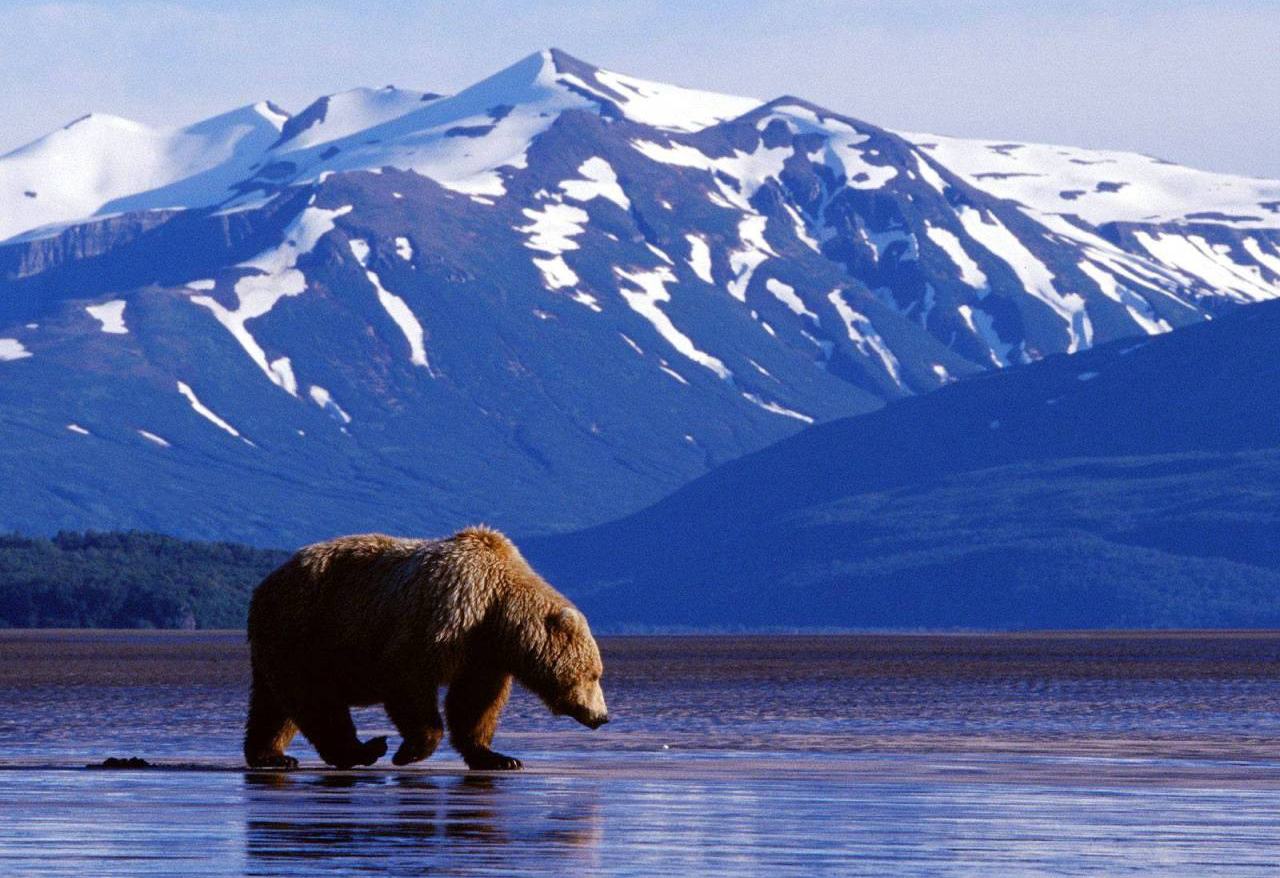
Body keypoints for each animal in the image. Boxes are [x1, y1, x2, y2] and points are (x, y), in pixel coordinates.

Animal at [243, 526, 608, 770]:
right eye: (593, 674)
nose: (602, 716)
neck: (496, 610)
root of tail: (265, 584)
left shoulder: (483, 655)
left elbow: (475, 703)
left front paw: (498, 757)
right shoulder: (444, 618)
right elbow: (407, 676)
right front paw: (410, 750)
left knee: (273, 705)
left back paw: (270, 755)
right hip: (307, 630)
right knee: (315, 698)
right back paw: (362, 750)